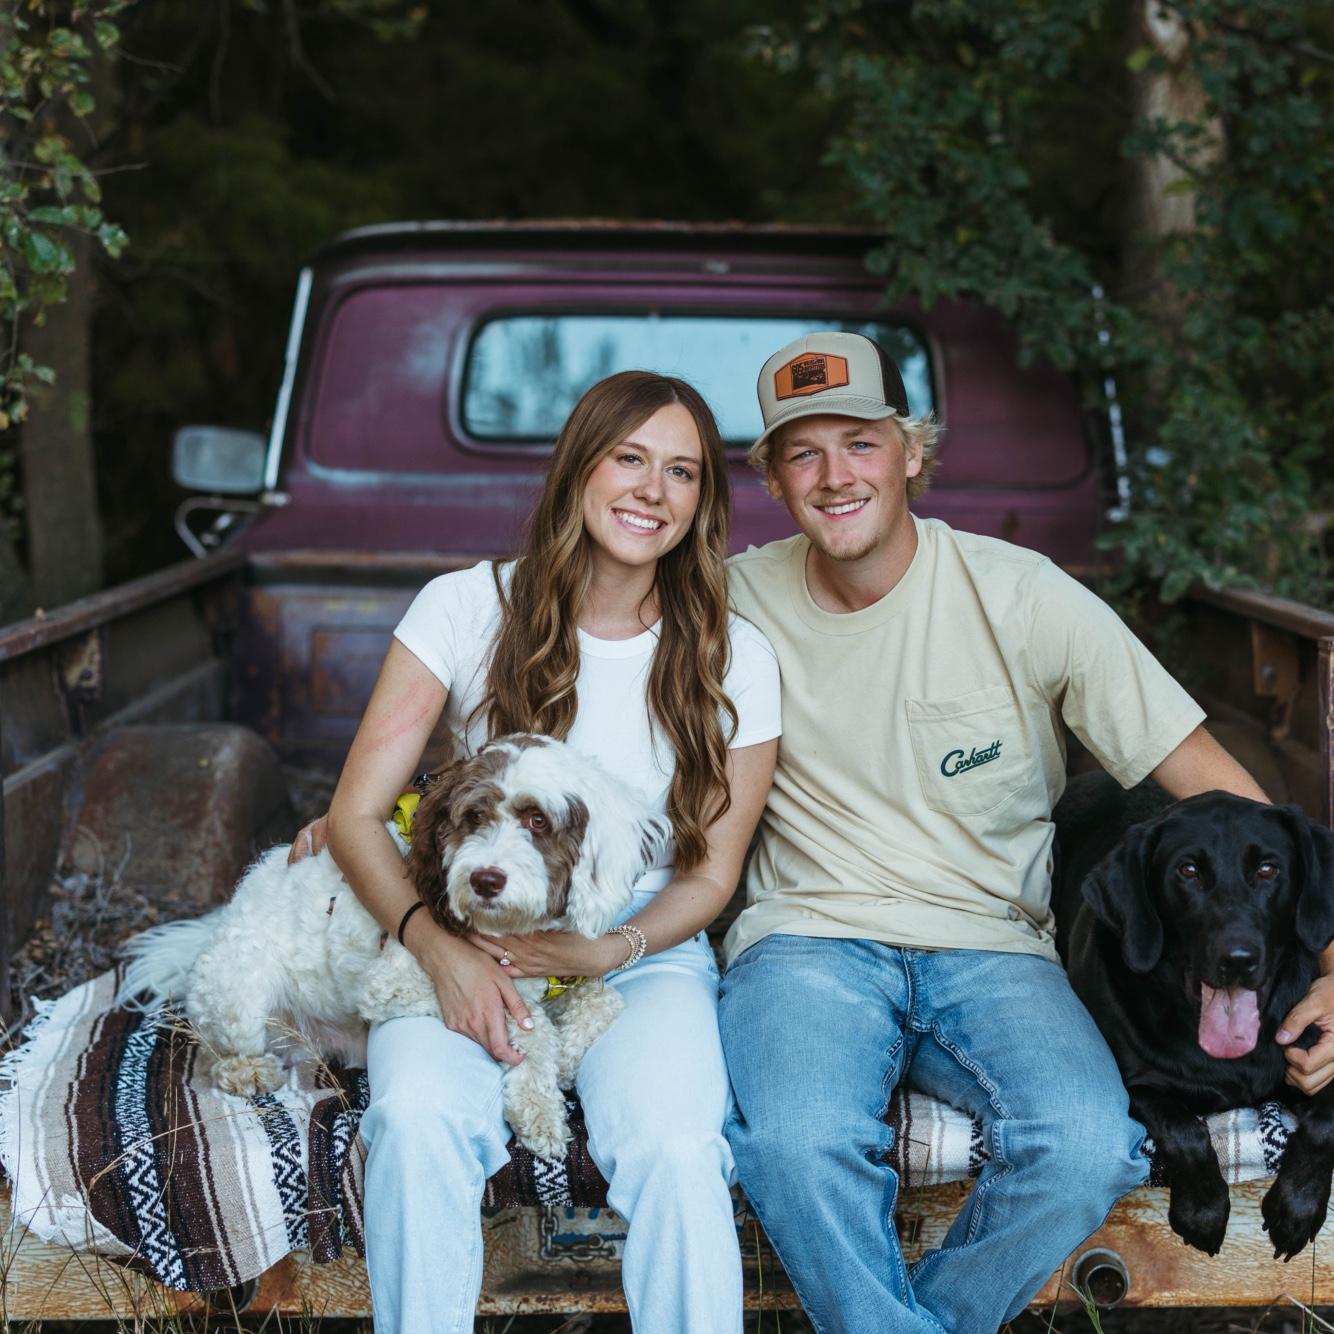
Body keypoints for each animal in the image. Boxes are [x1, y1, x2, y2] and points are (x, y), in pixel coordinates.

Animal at [117, 734, 671, 1160]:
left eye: (538, 822)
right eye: (474, 816)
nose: (485, 880)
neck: (515, 931)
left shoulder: (568, 972)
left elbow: (603, 999)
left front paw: (568, 1057)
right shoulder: (403, 985)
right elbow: (528, 1026)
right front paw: (544, 1096)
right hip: (240, 987)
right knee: (220, 1054)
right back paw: (250, 1071)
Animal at [1052, 772, 1334, 1260]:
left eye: (1267, 870)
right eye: (1188, 871)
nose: (1238, 960)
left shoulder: (1313, 1061)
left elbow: (1325, 1124)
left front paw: (1297, 1207)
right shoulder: (1135, 1085)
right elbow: (1186, 1130)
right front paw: (1202, 1211)